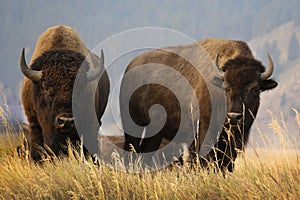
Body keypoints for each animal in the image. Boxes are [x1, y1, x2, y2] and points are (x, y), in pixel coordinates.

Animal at [119, 38, 276, 171]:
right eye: (226, 88)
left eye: (255, 89)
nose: (233, 116)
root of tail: (130, 67)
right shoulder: (202, 135)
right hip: (133, 125)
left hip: (156, 132)